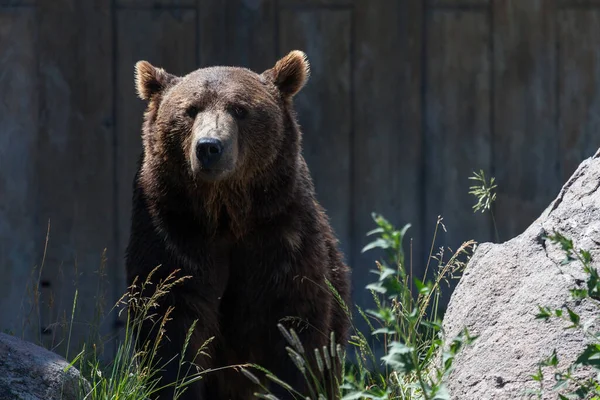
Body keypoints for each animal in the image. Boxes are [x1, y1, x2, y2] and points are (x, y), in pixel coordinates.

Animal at [126, 50, 352, 400]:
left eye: (240, 109)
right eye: (190, 110)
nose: (209, 147)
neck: (227, 215)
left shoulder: (282, 234)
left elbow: (295, 327)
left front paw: (294, 384)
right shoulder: (172, 230)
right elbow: (171, 318)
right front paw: (175, 384)